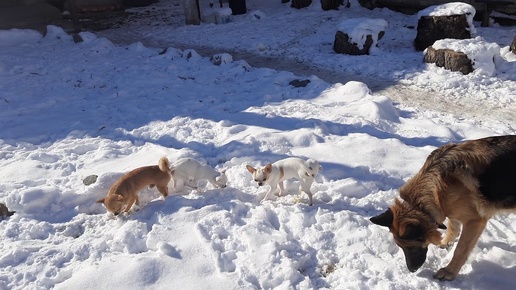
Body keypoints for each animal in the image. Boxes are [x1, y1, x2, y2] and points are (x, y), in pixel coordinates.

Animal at [370, 136, 516, 280]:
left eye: (411, 247)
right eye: (400, 246)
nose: (411, 270)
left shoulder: (474, 221)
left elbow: (460, 250)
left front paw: (449, 271)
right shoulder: (448, 210)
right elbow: (453, 228)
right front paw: (445, 242)